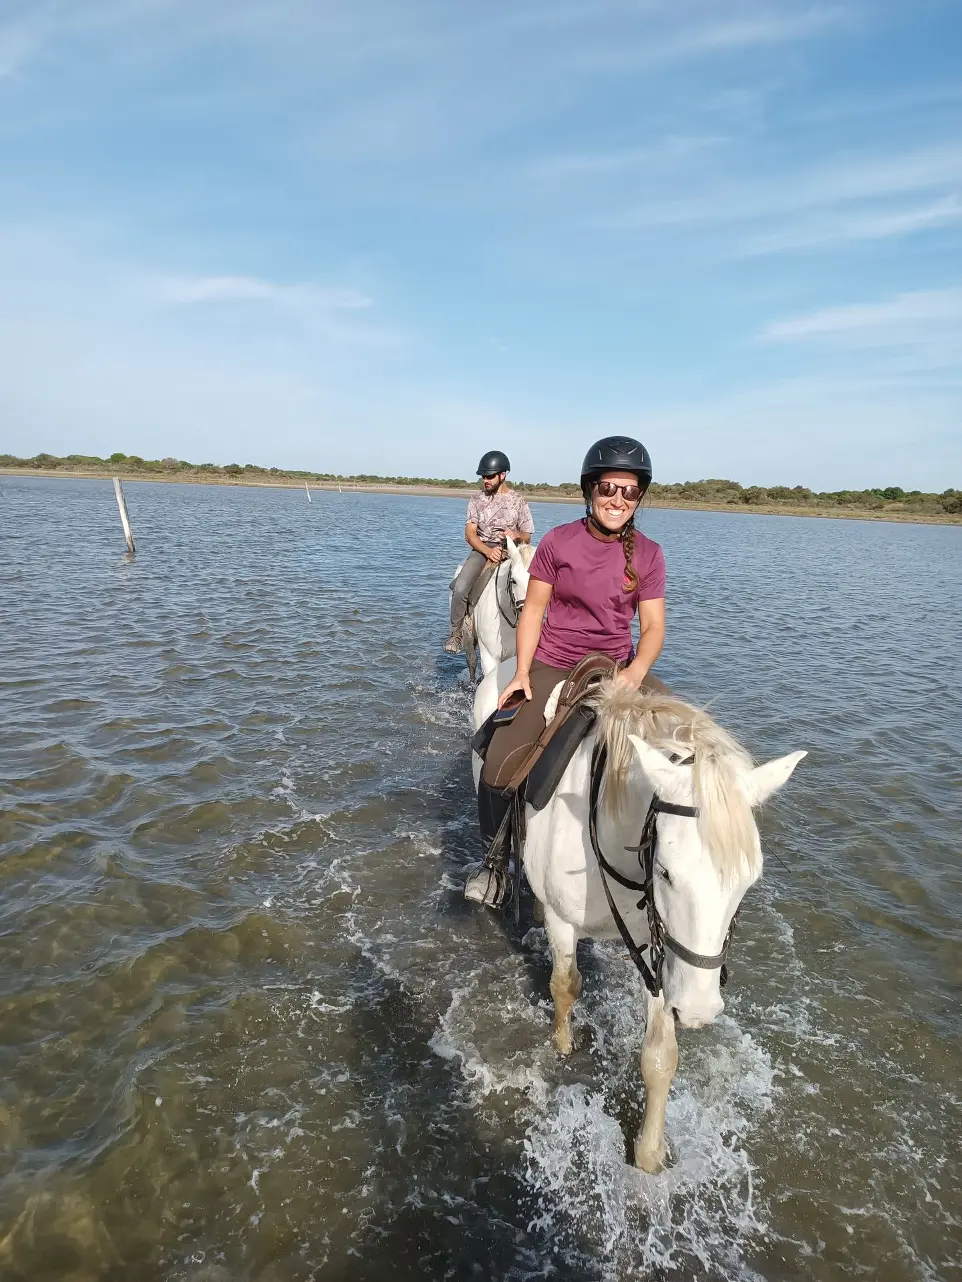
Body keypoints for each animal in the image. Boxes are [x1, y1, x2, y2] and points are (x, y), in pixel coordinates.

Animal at [474, 671, 805, 1174]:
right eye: (666, 871)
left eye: (750, 880)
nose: (699, 1010)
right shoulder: (565, 922)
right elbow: (564, 986)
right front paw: (563, 1046)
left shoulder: (659, 944)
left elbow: (660, 1054)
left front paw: (650, 1154)